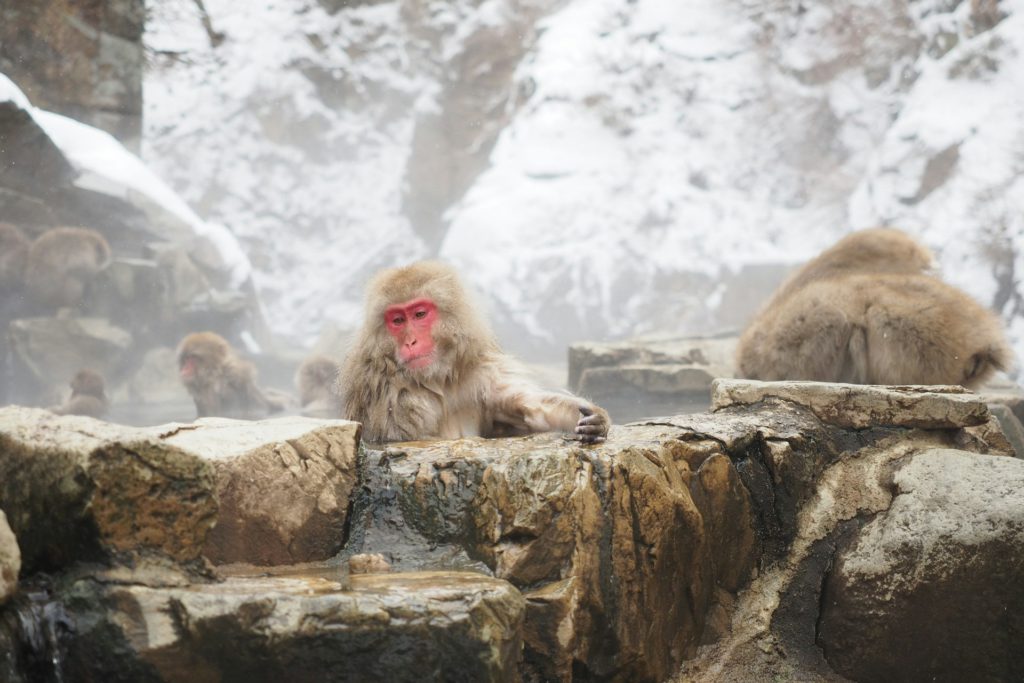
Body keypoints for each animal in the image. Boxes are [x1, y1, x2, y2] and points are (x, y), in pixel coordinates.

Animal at [338, 261, 611, 443]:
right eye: (397, 320)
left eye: (419, 314)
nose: (410, 342)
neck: (438, 380)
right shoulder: (388, 394)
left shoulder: (480, 374)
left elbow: (529, 408)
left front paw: (594, 419)